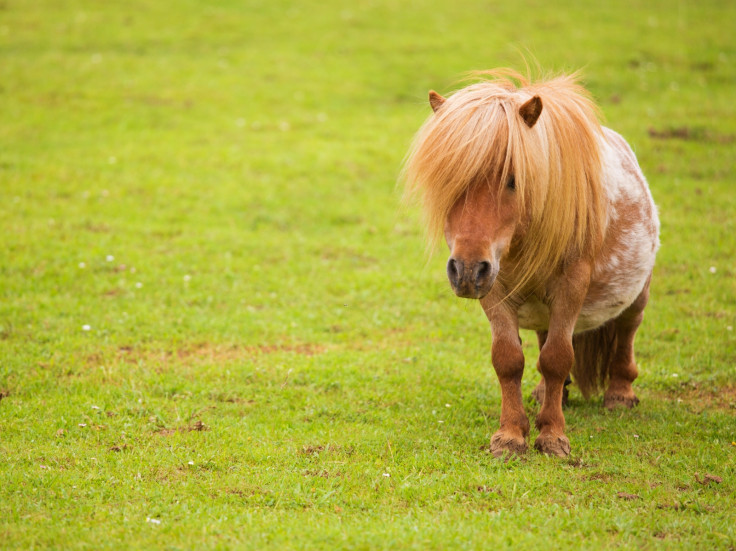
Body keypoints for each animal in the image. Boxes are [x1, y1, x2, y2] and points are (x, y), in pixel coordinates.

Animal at [402, 69, 660, 458]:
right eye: (448, 182)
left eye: (513, 180)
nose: (465, 270)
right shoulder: (495, 288)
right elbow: (509, 359)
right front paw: (510, 436)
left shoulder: (571, 285)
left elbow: (557, 357)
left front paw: (552, 436)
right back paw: (547, 394)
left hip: (637, 290)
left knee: (628, 326)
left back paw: (620, 393)